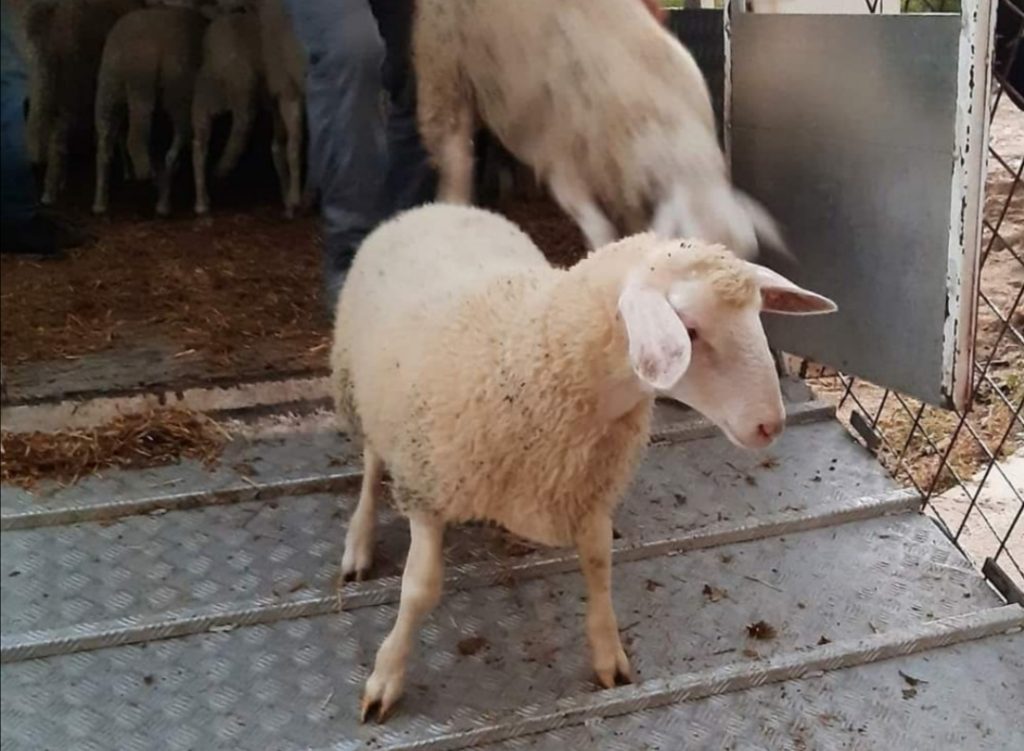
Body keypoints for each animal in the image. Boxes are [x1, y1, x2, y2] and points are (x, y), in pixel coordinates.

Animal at [21, 0, 143, 206]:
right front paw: (128, 170)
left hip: (53, 83)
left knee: (43, 123)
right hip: (73, 83)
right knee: (58, 137)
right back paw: (50, 192)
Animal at [92, 4, 207, 216]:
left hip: (109, 85)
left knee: (105, 142)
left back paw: (100, 204)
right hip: (176, 92)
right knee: (174, 146)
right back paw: (164, 204)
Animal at [331, 203, 837, 721]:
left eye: (757, 315)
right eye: (690, 330)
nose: (770, 425)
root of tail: (440, 206)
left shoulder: (588, 489)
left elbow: (598, 565)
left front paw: (608, 653)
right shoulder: (428, 485)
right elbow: (419, 590)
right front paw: (386, 676)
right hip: (359, 390)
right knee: (371, 465)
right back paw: (359, 542)